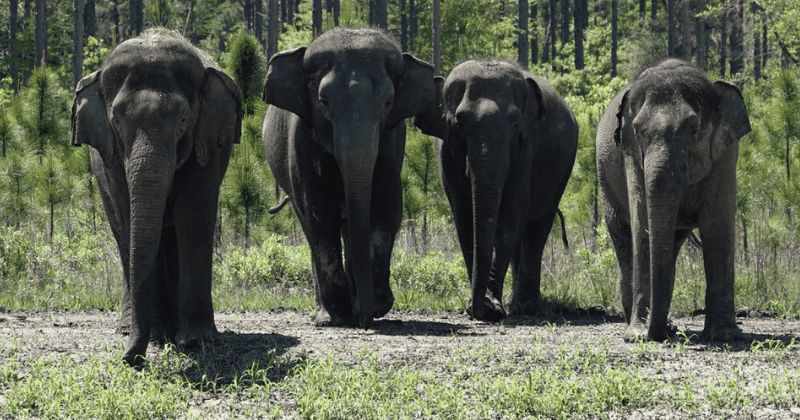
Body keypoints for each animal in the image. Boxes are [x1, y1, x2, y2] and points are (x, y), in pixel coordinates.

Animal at [71, 29, 243, 365]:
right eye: (117, 122)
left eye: (183, 121)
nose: (131, 360)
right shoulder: (112, 158)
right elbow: (130, 215)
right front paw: (158, 337)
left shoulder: (207, 145)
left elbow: (194, 217)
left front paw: (197, 341)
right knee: (123, 234)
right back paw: (133, 329)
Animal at [261, 27, 439, 328]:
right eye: (324, 102)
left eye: (388, 103)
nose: (364, 321)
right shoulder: (302, 140)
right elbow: (320, 212)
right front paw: (339, 316)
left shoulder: (392, 141)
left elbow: (387, 206)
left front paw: (377, 305)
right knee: (311, 225)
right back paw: (324, 312)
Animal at [415, 59, 578, 322]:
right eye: (460, 123)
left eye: (515, 125)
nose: (477, 311)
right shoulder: (445, 153)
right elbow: (465, 219)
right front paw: (479, 306)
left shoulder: (527, 146)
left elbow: (510, 216)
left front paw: (491, 309)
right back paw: (516, 305)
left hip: (560, 172)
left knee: (536, 228)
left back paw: (526, 308)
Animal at [596, 58, 750, 342]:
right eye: (637, 131)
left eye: (694, 130)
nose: (654, 335)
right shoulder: (630, 155)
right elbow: (641, 223)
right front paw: (637, 335)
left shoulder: (725, 155)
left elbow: (717, 225)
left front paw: (725, 336)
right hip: (604, 182)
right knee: (623, 239)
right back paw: (639, 326)